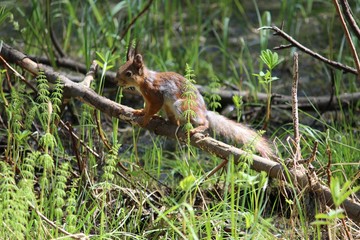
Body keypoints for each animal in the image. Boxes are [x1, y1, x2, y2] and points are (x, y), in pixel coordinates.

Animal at [115, 47, 272, 159]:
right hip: (170, 108)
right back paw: (167, 121)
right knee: (175, 120)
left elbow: (153, 107)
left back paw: (198, 128)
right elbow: (147, 107)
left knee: (204, 122)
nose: (117, 81)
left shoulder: (155, 94)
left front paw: (146, 118)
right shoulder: (148, 99)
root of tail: (204, 111)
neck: (145, 81)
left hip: (182, 106)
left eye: (128, 73)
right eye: (120, 68)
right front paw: (140, 111)